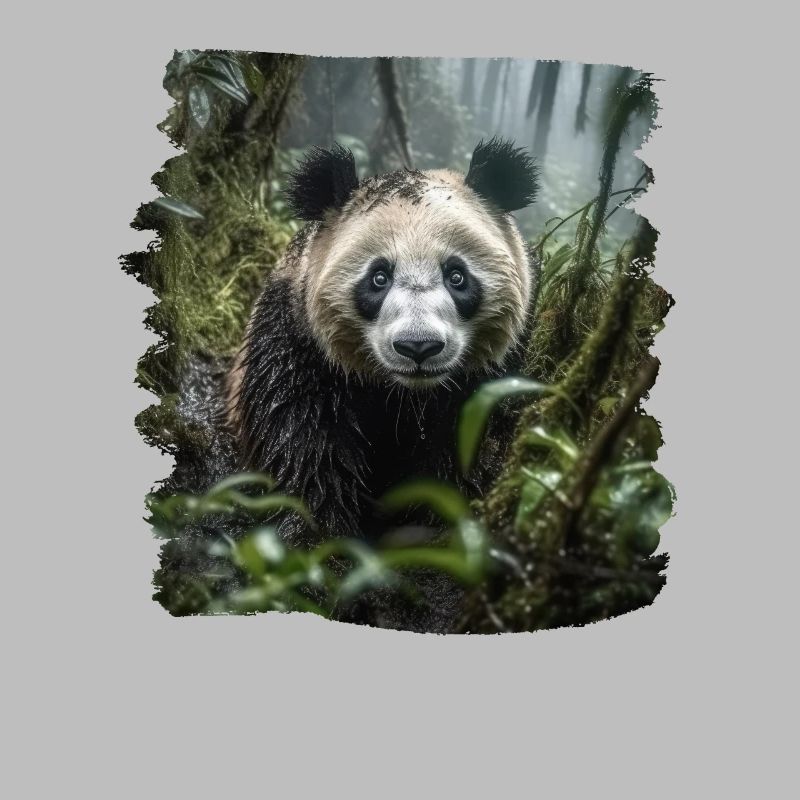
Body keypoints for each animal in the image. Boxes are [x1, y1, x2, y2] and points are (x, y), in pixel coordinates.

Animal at [227, 137, 539, 562]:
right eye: (379, 277)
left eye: (457, 276)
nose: (418, 347)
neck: (404, 394)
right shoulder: (296, 340)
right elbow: (301, 438)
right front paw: (318, 536)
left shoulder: (494, 369)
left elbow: (464, 440)